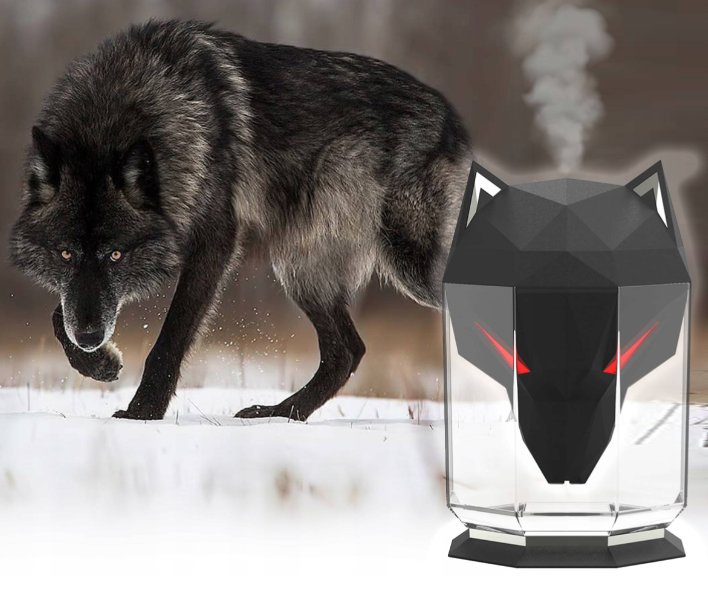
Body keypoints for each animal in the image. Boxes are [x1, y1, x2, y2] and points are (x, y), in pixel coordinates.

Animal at [10, 19, 471, 421]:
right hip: (301, 269)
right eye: (65, 253)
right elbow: (60, 315)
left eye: (116, 255)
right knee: (347, 351)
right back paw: (279, 414)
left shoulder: (215, 243)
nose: (90, 338)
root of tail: (453, 119)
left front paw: (142, 414)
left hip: (406, 264)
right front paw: (99, 363)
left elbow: (169, 339)